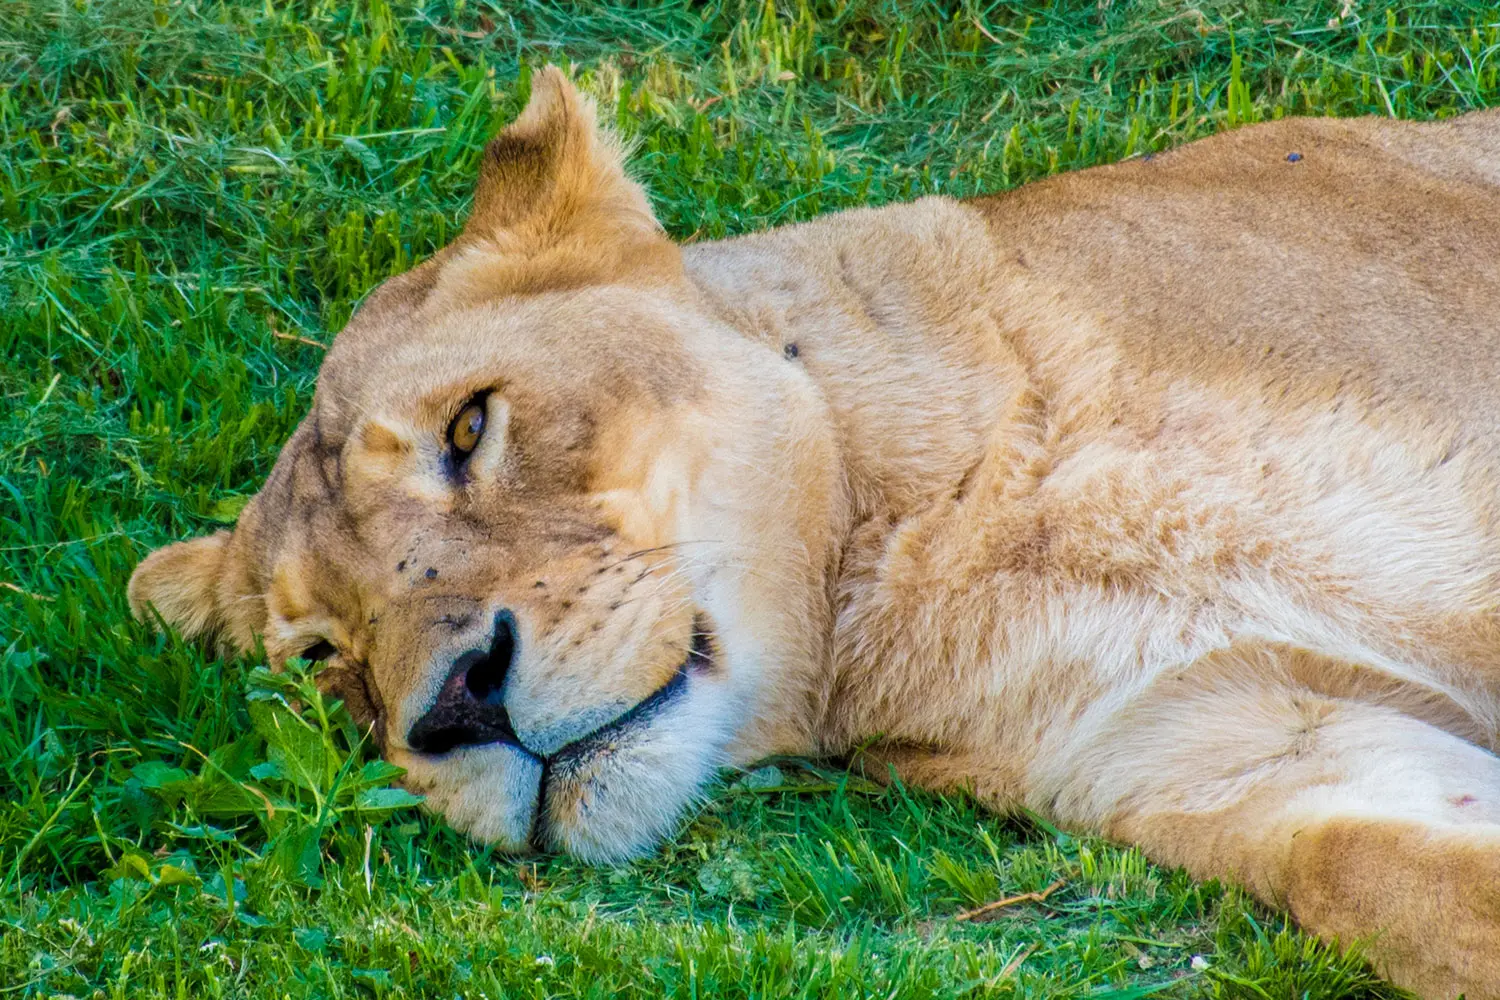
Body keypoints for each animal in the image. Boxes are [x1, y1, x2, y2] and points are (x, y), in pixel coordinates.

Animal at [126, 66, 1500, 995]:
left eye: (468, 429)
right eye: (323, 661)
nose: (458, 705)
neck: (923, 553)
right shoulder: (1221, 737)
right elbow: (1383, 873)